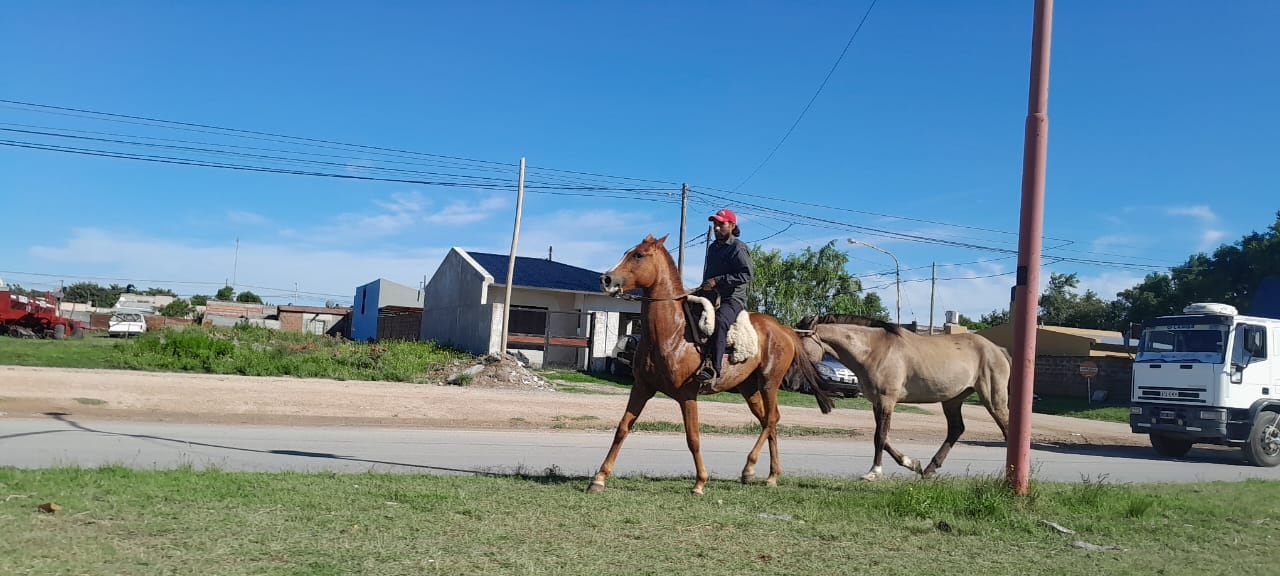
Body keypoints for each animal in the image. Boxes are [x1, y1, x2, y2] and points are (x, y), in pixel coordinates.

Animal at [591, 234, 834, 494]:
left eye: (638, 255)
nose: (606, 279)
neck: (672, 333)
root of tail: (784, 330)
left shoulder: (687, 395)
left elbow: (693, 438)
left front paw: (700, 482)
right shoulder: (642, 388)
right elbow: (622, 429)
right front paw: (599, 478)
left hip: (770, 382)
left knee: (770, 420)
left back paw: (752, 468)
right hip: (749, 388)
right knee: (769, 421)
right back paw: (769, 475)